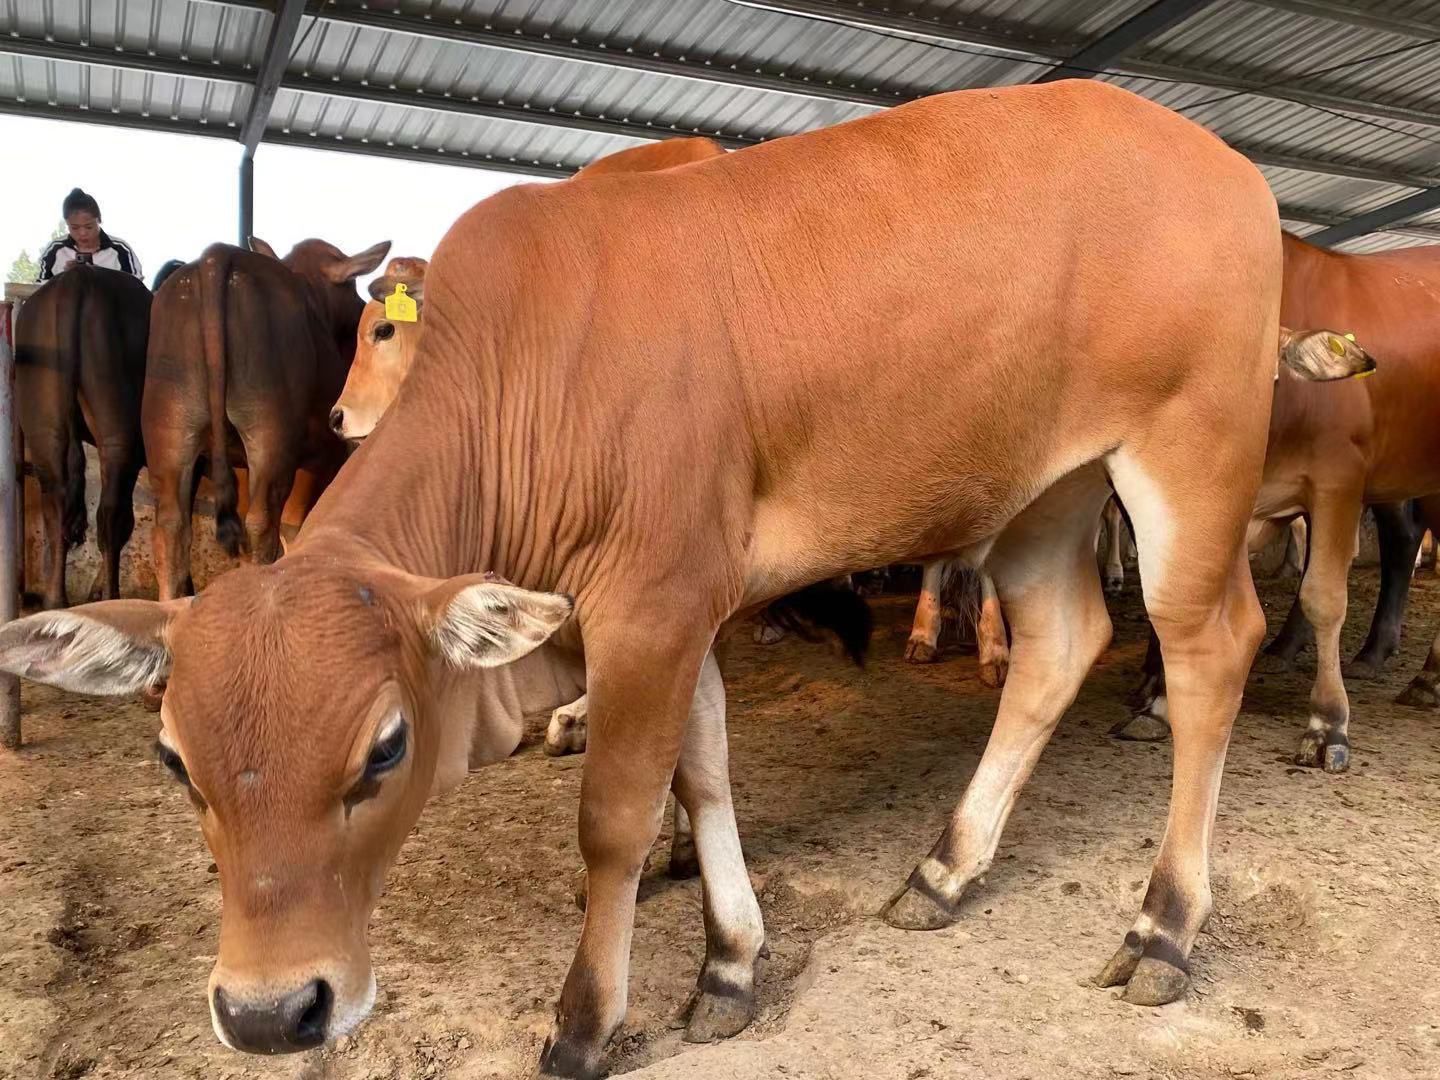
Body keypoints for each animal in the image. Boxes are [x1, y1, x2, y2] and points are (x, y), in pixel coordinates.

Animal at [14, 267, 151, 613]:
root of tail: (78, 279)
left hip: (44, 426)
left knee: (56, 505)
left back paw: (55, 599)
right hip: (118, 433)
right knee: (112, 515)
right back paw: (112, 596)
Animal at [144, 234, 388, 601]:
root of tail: (216, 259)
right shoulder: (322, 456)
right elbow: (296, 526)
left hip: (170, 430)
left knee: (172, 529)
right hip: (270, 437)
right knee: (262, 525)